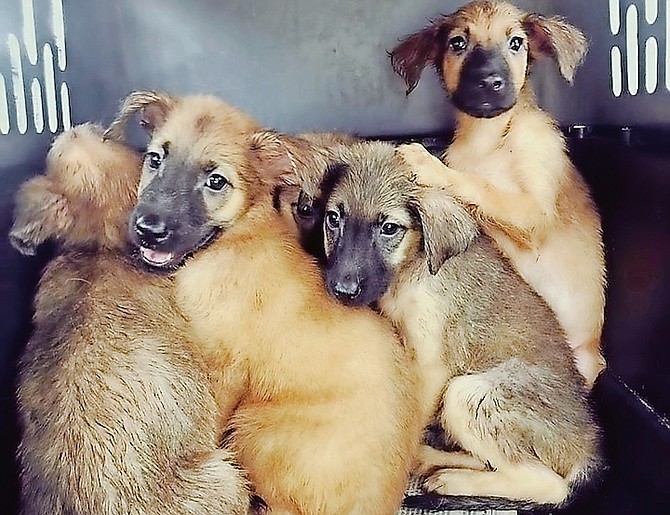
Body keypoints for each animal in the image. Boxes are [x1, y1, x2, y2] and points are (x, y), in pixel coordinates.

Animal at [112, 92, 422, 515]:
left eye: (216, 181)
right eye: (155, 159)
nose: (148, 229)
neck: (239, 235)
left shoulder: (223, 369)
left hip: (253, 427)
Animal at [388, 0, 608, 388]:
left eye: (516, 43)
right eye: (458, 44)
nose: (489, 82)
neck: (488, 137)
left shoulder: (533, 213)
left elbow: (481, 185)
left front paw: (427, 163)